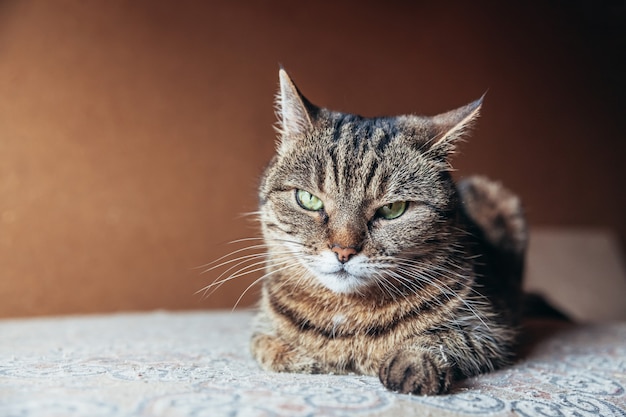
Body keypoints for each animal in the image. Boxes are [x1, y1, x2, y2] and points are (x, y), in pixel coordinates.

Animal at [246, 68, 524, 394]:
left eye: (393, 209)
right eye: (308, 199)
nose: (343, 251)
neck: (347, 314)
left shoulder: (491, 329)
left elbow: (442, 338)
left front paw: (413, 361)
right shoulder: (261, 329)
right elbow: (272, 349)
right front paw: (308, 357)